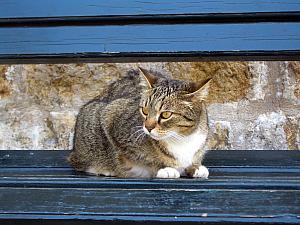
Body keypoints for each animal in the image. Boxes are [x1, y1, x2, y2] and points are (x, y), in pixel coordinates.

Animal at [68, 67, 211, 178]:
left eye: (165, 114)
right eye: (144, 110)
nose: (148, 127)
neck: (181, 138)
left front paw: (195, 167)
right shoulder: (110, 115)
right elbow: (146, 160)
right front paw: (165, 168)